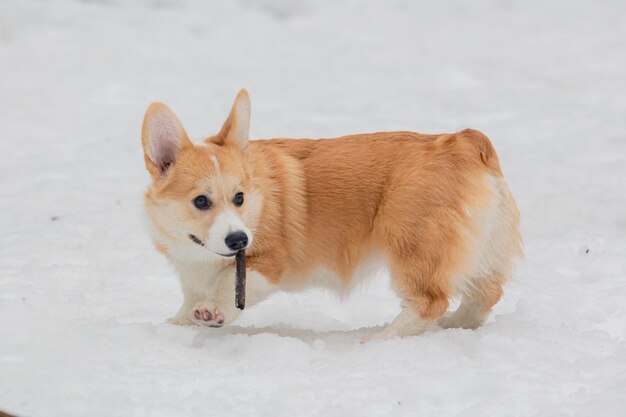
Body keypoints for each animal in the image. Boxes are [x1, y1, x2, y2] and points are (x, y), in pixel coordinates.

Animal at [143, 88, 520, 338]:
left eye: (239, 197)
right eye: (201, 201)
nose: (238, 240)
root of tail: (463, 142)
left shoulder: (269, 263)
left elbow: (226, 286)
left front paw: (213, 311)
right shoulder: (191, 272)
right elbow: (189, 300)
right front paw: (175, 325)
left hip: (411, 244)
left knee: (428, 303)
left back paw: (380, 339)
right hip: (482, 249)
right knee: (484, 295)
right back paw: (455, 327)